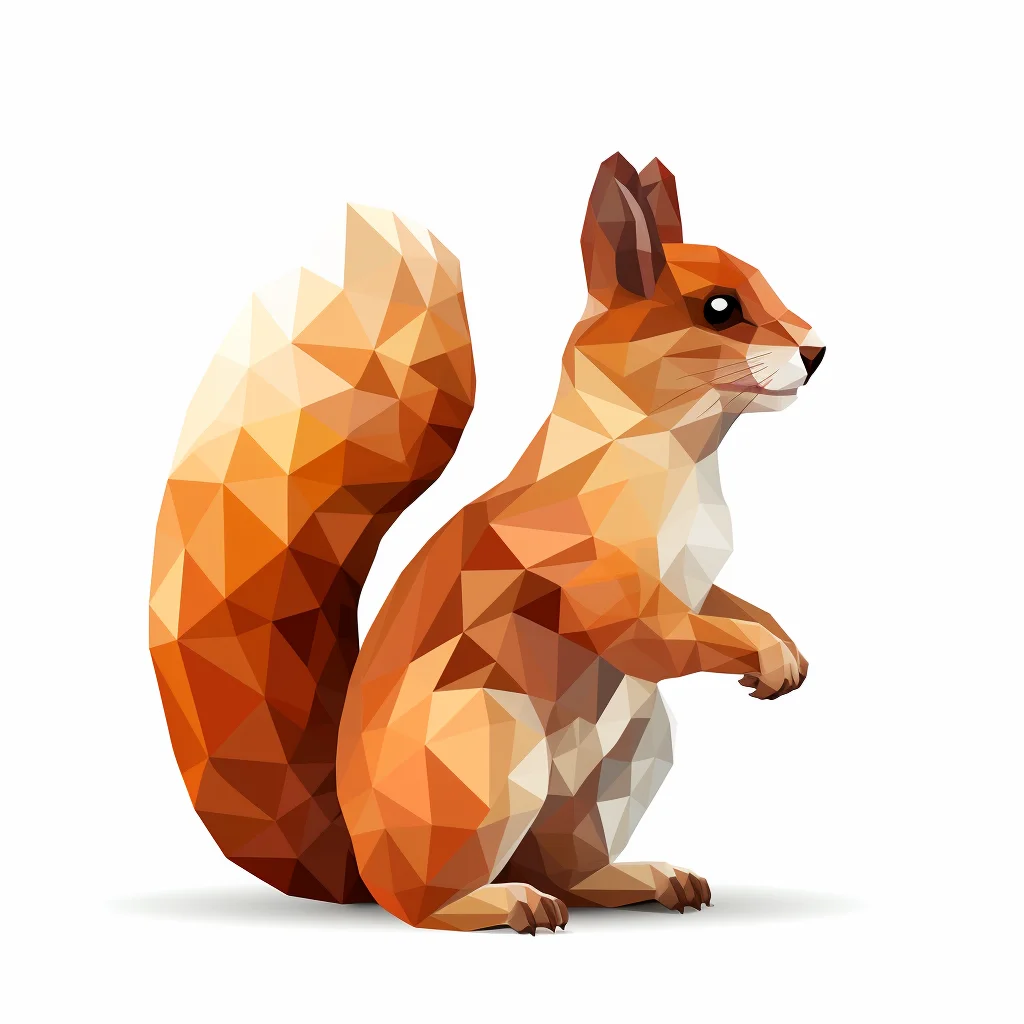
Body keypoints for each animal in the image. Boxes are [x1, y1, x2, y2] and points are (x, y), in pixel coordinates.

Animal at [150, 152, 824, 931]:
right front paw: (765, 654)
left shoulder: (694, 576)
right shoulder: (595, 575)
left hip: (626, 760)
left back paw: (648, 878)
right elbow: (656, 633)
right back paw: (504, 902)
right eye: (718, 307)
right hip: (483, 754)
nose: (816, 350)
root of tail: (354, 859)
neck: (668, 452)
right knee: (422, 903)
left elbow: (731, 604)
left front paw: (785, 646)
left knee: (567, 868)